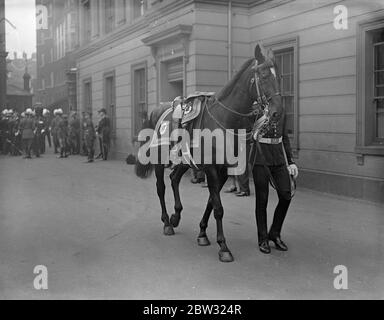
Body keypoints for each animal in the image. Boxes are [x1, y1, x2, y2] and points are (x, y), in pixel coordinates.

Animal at [134, 43, 282, 262]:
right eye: (263, 75)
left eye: (278, 76)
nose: (277, 111)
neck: (224, 119)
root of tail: (155, 111)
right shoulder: (212, 169)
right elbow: (218, 208)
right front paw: (224, 247)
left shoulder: (223, 170)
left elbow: (212, 203)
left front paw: (203, 233)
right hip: (159, 161)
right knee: (161, 187)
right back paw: (167, 222)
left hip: (184, 161)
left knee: (174, 179)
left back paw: (176, 216)